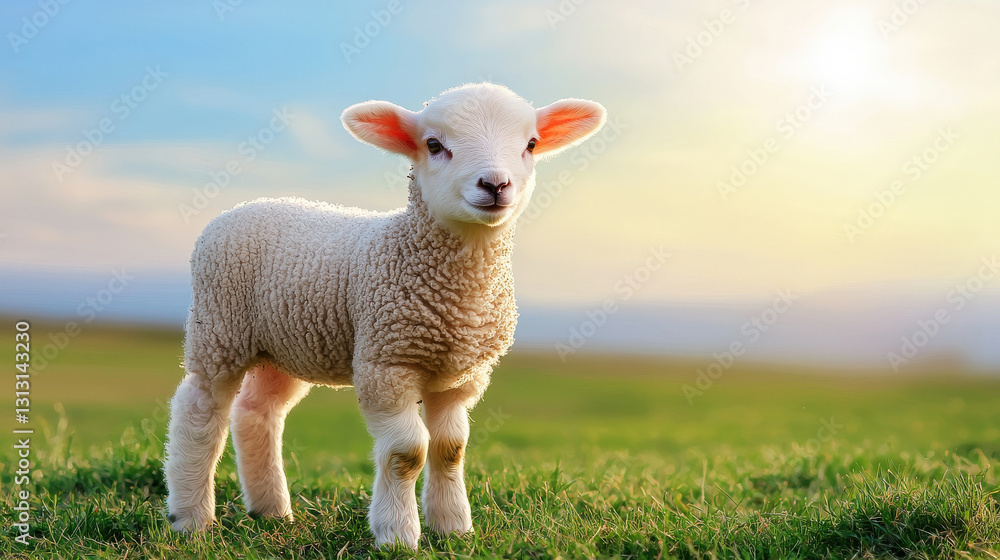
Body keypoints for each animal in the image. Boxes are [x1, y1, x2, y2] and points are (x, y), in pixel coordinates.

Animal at [163, 82, 606, 548]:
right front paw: (397, 534)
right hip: (219, 326)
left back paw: (271, 512)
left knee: (256, 411)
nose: (495, 184)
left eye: (531, 144)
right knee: (199, 408)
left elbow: (450, 448)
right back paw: (190, 518)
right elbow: (407, 452)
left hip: (282, 345)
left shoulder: (462, 375)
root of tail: (245, 206)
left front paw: (453, 528)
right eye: (434, 145)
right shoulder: (386, 363)